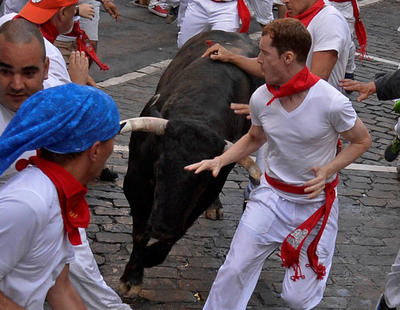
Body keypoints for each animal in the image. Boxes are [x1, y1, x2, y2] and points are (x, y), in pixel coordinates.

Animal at [119, 29, 262, 294]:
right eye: (159, 169)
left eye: (202, 180)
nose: (162, 227)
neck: (197, 112)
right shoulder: (135, 180)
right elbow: (140, 233)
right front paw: (131, 278)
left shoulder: (212, 185)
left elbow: (180, 229)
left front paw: (151, 256)